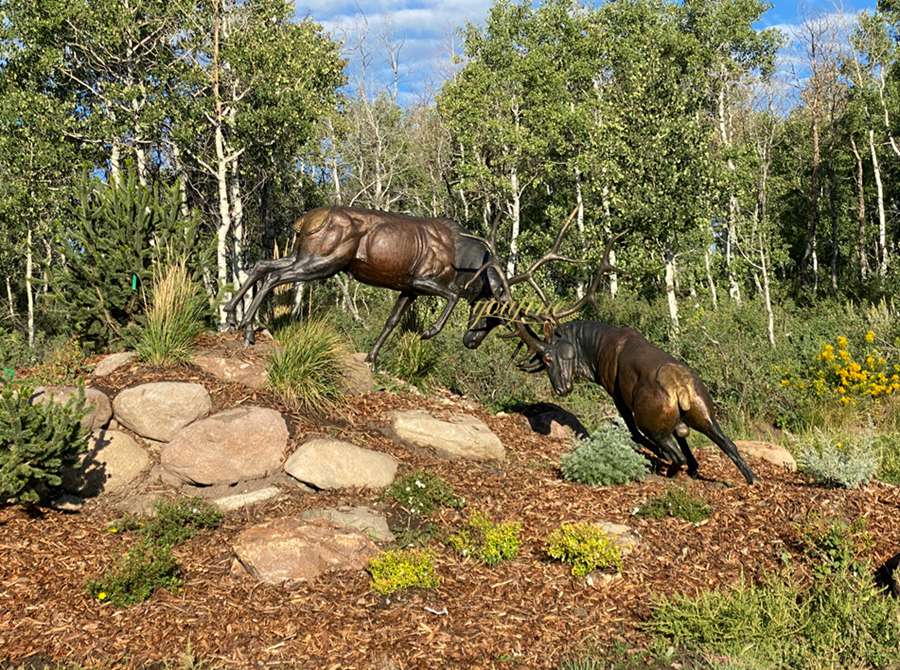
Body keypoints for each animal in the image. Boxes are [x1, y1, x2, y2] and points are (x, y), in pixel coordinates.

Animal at [223, 205, 579, 366]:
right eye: (492, 313)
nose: (471, 341)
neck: (468, 266)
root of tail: (303, 221)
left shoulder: (408, 288)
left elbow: (392, 321)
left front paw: (371, 357)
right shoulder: (422, 278)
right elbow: (451, 295)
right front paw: (429, 332)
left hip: (305, 255)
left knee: (262, 265)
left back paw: (231, 313)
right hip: (325, 261)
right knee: (275, 276)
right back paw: (247, 329)